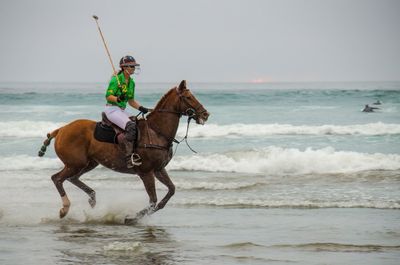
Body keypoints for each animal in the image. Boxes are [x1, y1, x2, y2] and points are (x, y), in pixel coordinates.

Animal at [38, 80, 209, 223]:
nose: (206, 114)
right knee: (57, 178)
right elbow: (153, 200)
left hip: (88, 163)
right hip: (75, 163)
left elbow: (170, 192)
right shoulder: (146, 172)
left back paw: (92, 198)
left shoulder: (159, 169)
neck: (156, 131)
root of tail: (61, 129)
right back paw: (65, 209)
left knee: (72, 178)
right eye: (188, 97)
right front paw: (132, 217)